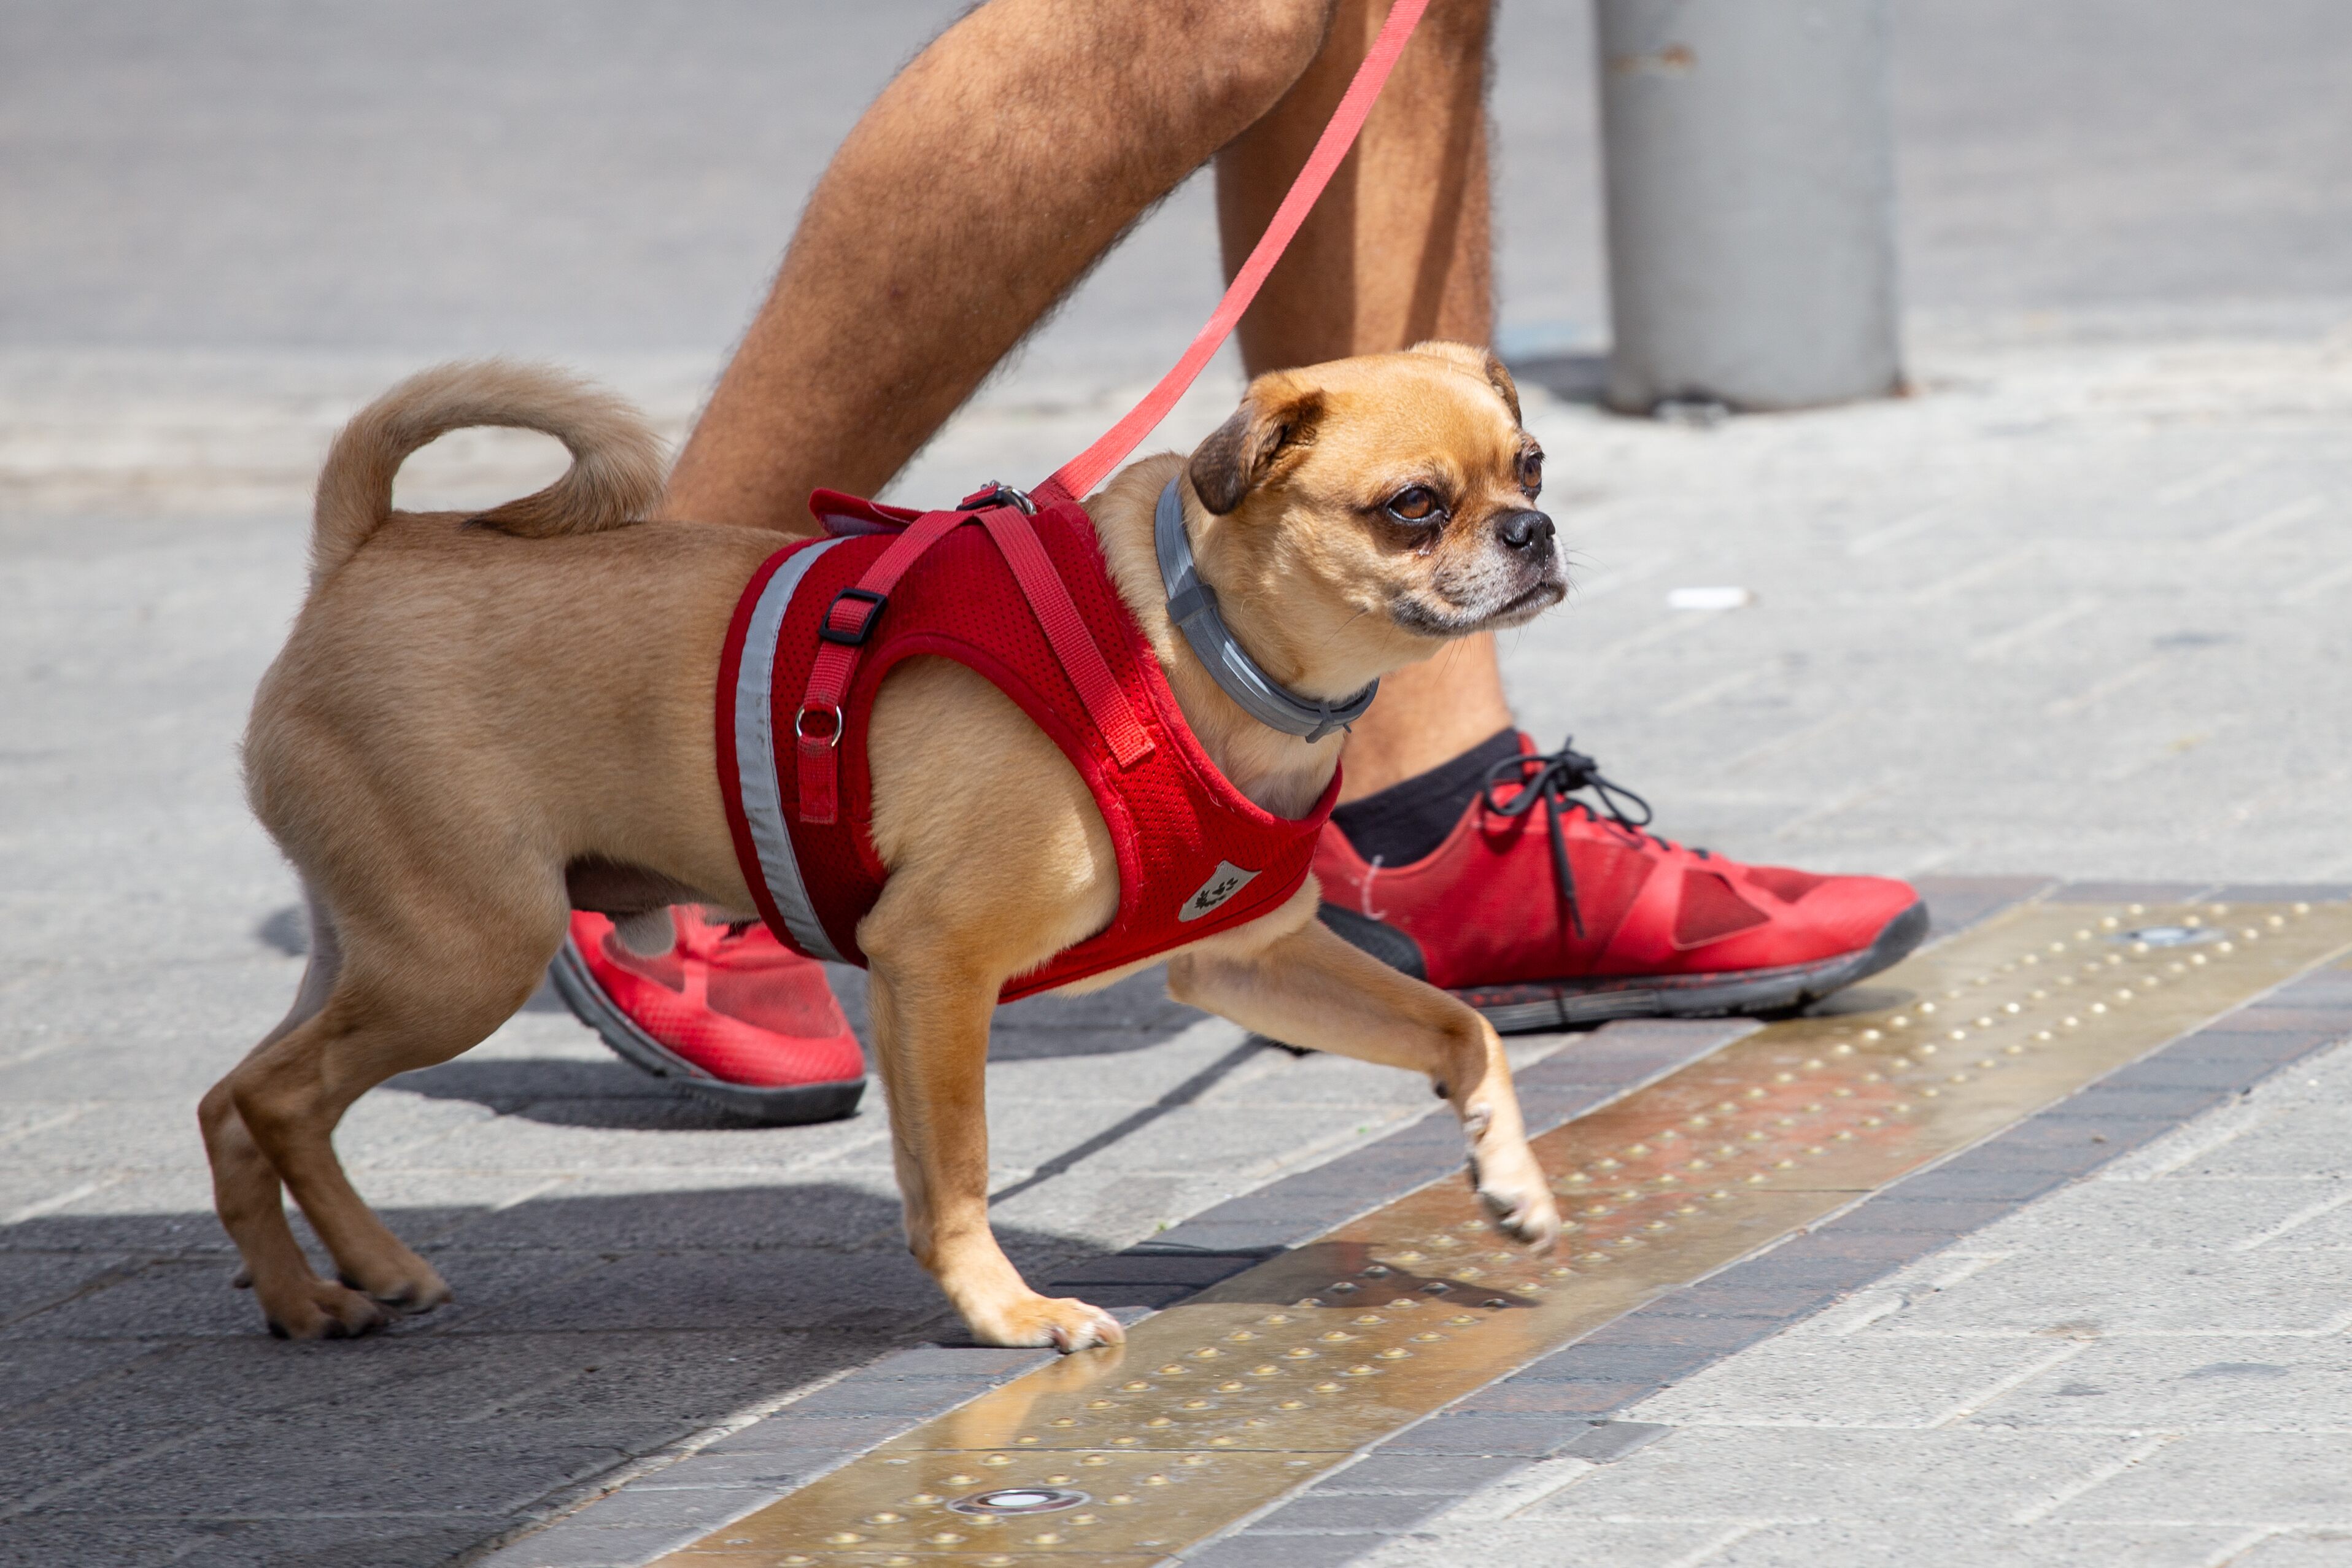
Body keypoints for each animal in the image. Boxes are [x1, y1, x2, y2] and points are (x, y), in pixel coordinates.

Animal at [202, 343, 1561, 1354]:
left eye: (1531, 464)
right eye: (1413, 508)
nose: (1533, 531)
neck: (1184, 639)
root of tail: (371, 544)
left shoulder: (1247, 959)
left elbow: (1461, 1028)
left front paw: (1510, 1180)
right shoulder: (935, 964)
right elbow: (953, 1170)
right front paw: (1007, 1311)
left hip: (378, 951)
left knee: (237, 1102)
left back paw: (312, 1290)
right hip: (464, 959)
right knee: (278, 1096)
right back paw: (352, 1271)